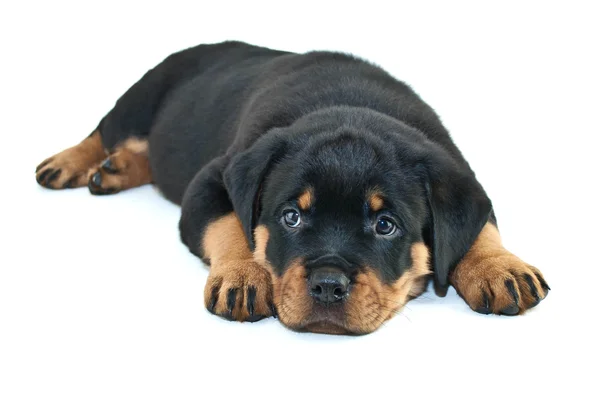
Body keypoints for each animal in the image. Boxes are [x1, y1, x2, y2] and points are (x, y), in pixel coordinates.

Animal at [34, 41, 548, 336]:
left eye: (385, 225)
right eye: (291, 217)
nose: (327, 286)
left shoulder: (461, 178)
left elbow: (479, 227)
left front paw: (499, 267)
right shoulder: (212, 180)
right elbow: (230, 223)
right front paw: (244, 274)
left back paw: (116, 169)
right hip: (141, 96)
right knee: (104, 129)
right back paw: (68, 163)